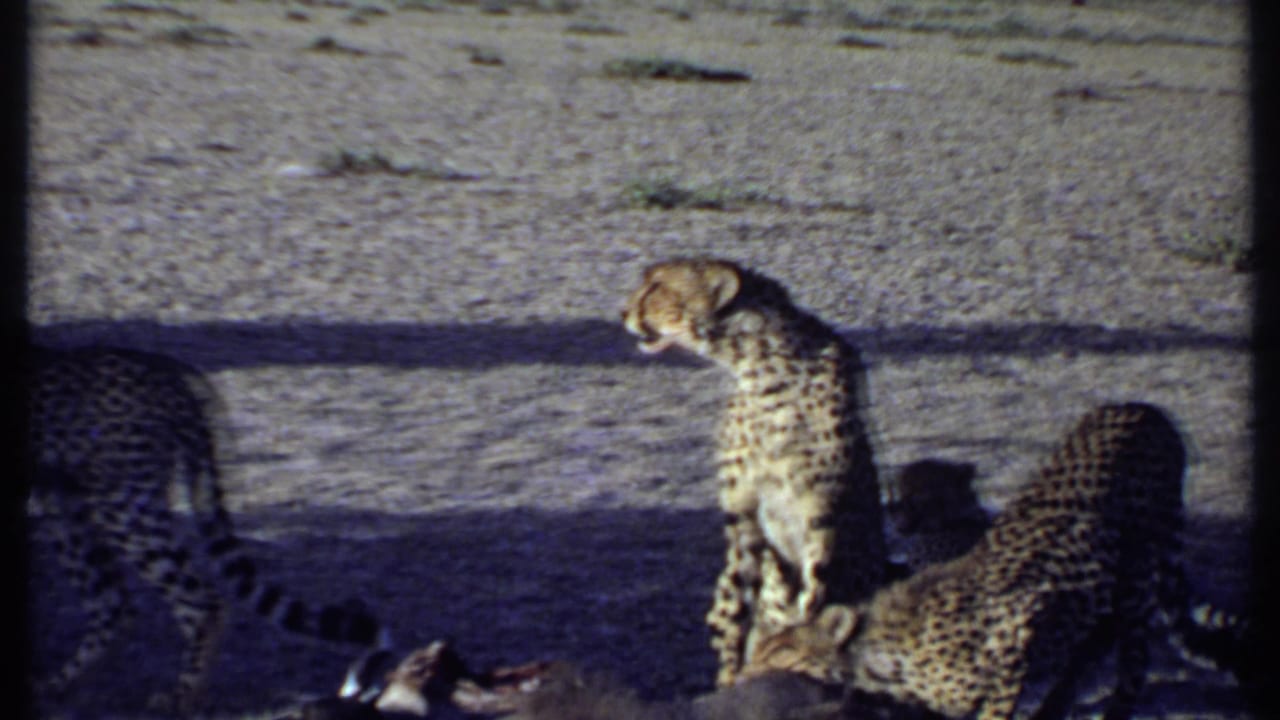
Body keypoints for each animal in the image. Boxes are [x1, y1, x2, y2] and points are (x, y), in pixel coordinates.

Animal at [28, 345, 389, 715]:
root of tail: (162, 368)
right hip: (66, 511)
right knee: (112, 602)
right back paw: (55, 685)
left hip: (122, 509)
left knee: (199, 601)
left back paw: (182, 697)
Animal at [621, 257, 888, 688]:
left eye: (656, 287)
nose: (623, 312)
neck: (763, 363)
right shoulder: (742, 513)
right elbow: (736, 605)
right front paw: (734, 675)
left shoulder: (821, 505)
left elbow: (815, 585)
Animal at [739, 402, 1248, 720]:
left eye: (779, 650)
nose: (744, 676)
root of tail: (1141, 409)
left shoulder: (1017, 634)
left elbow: (994, 707)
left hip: (1139, 574)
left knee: (1132, 663)